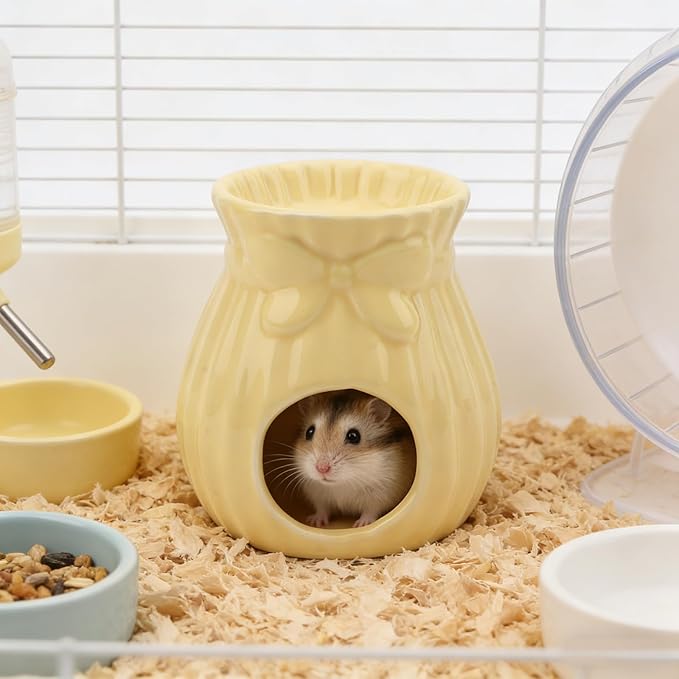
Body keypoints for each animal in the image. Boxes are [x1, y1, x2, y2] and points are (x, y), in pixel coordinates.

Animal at [293, 389, 416, 528]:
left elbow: (370, 511)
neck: (344, 482)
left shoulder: (380, 495)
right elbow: (322, 509)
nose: (322, 468)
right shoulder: (318, 495)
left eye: (353, 436)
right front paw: (315, 522)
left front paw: (361, 525)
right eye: (309, 432)